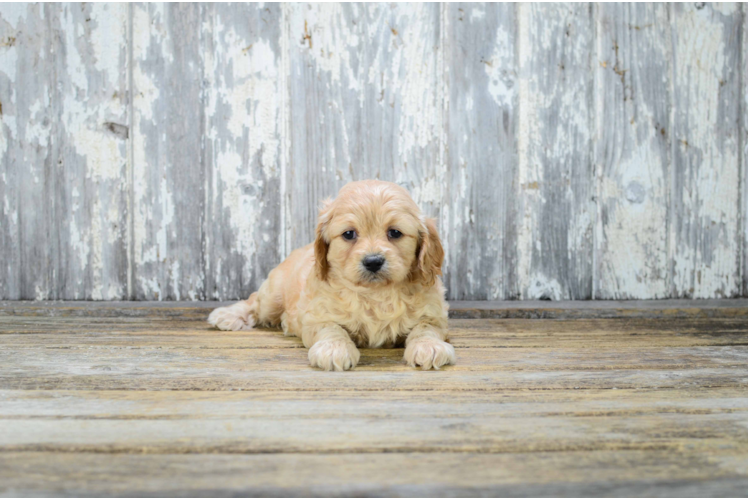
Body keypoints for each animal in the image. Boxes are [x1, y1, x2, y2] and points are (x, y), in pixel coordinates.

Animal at [210, 181, 456, 372]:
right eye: (349, 234)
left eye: (395, 232)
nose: (373, 261)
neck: (376, 293)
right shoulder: (317, 315)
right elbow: (332, 328)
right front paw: (334, 349)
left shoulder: (434, 314)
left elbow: (426, 328)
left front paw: (429, 346)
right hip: (273, 295)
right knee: (254, 302)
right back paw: (227, 315)